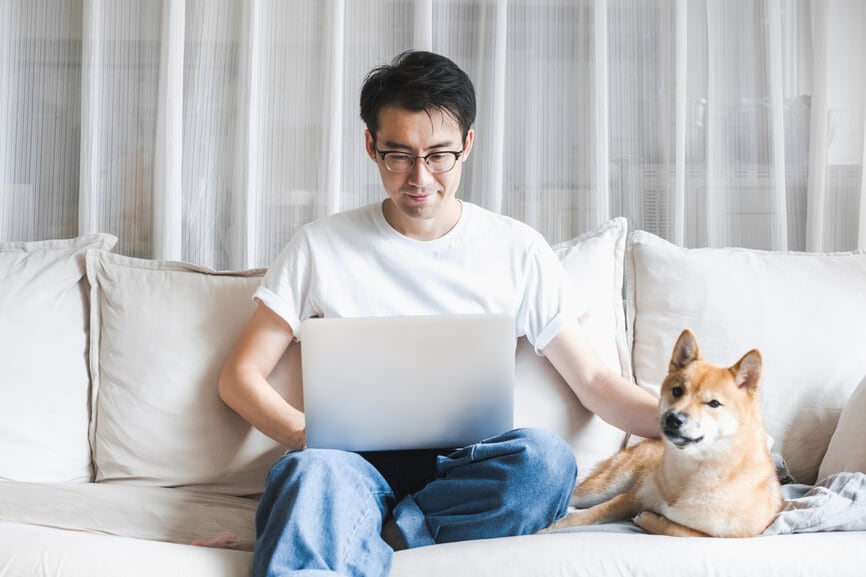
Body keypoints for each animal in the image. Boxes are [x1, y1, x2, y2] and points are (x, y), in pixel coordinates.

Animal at [548, 330, 784, 536]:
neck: (689, 471)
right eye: (677, 391)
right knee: (577, 500)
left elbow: (673, 528)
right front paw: (546, 529)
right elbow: (585, 516)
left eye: (713, 403)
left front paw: (648, 517)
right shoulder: (631, 497)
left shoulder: (724, 536)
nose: (673, 418)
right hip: (606, 485)